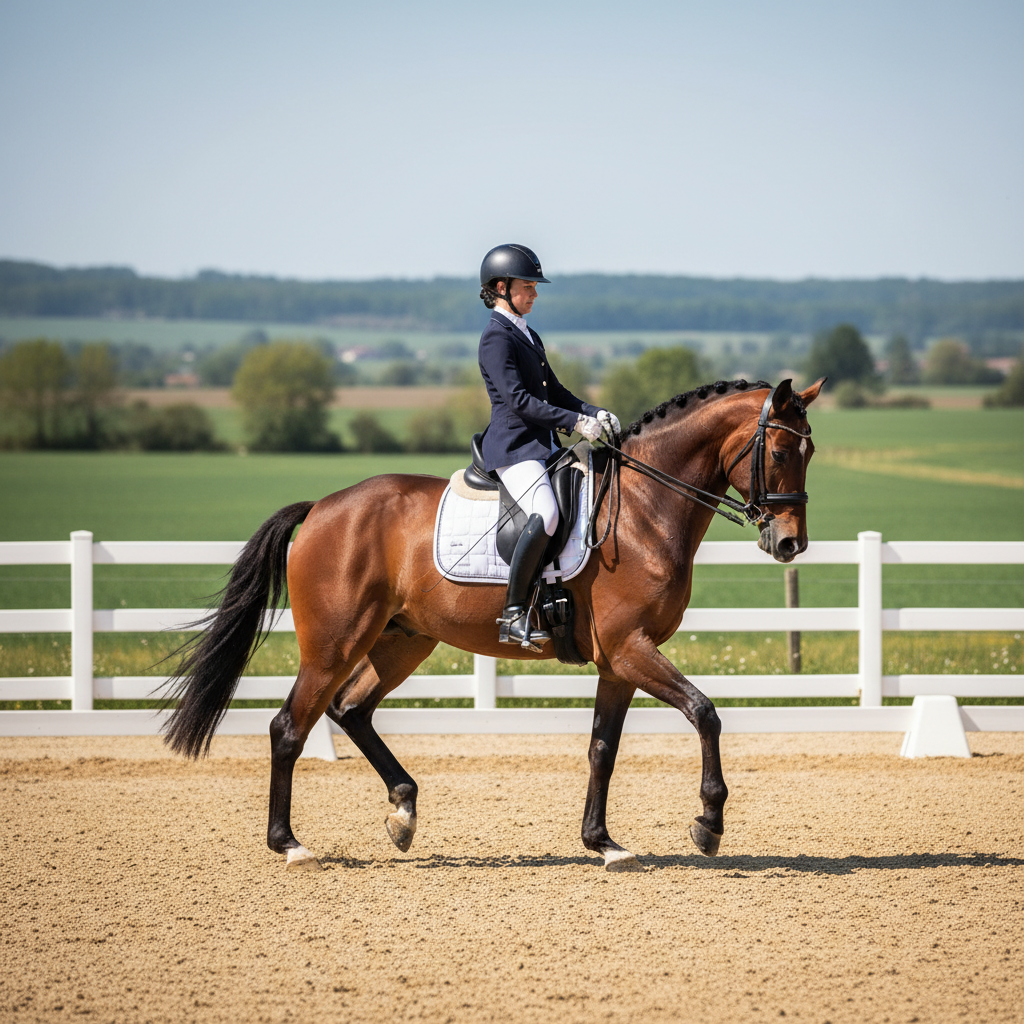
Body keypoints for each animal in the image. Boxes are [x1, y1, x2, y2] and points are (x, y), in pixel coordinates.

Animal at [164, 376, 824, 872]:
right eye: (779, 452)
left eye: (810, 453)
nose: (790, 543)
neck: (642, 509)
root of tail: (323, 507)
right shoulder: (630, 649)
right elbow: (705, 712)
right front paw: (708, 822)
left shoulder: (618, 662)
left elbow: (602, 748)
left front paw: (604, 844)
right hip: (333, 644)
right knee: (289, 727)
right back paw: (290, 844)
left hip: (403, 641)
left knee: (350, 709)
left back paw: (402, 812)